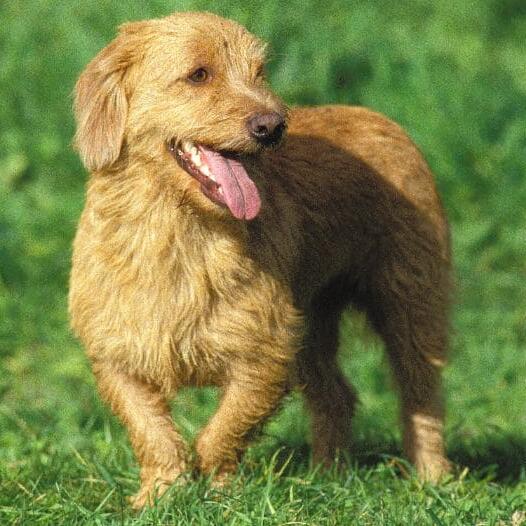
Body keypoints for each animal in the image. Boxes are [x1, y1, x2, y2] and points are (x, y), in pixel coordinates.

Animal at [68, 11, 452, 508]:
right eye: (199, 74)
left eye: (259, 73)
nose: (272, 126)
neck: (180, 230)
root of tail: (377, 116)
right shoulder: (117, 357)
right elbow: (153, 433)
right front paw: (160, 495)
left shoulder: (266, 353)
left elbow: (224, 430)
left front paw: (219, 491)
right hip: (313, 325)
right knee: (337, 396)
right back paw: (326, 478)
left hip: (409, 306)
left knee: (421, 395)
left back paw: (433, 480)